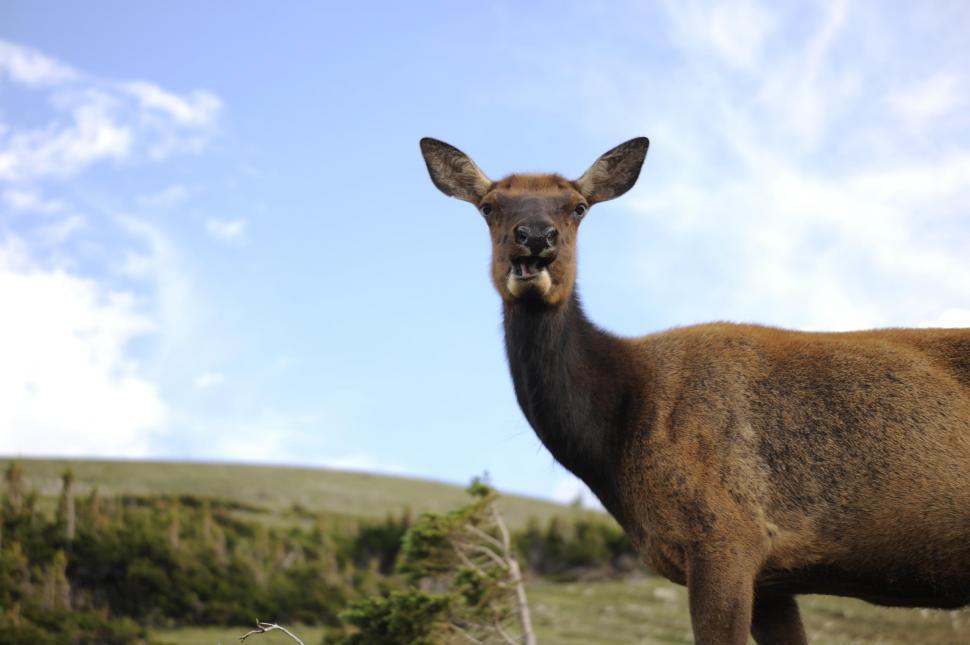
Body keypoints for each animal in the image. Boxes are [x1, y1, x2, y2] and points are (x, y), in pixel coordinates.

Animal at [419, 136, 970, 644]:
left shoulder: (726, 535)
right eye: (490, 205)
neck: (617, 434)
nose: (535, 236)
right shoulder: (772, 577)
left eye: (578, 206)